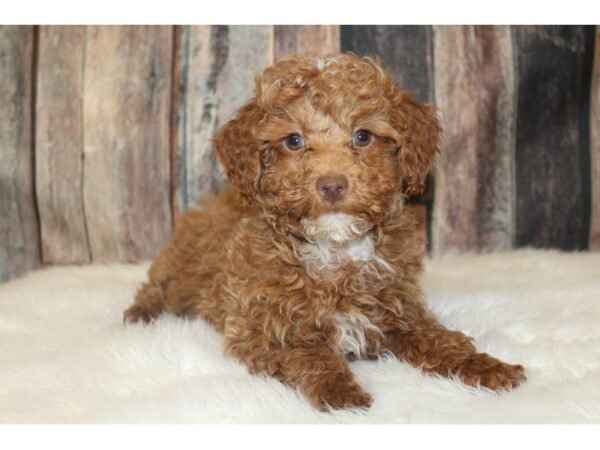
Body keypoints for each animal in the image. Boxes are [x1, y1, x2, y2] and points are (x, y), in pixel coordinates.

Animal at [123, 52, 524, 412]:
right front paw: (341, 392)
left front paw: (488, 368)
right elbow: (308, 352)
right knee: (155, 285)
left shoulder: (403, 310)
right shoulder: (259, 329)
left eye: (362, 137)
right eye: (293, 141)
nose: (332, 184)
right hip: (179, 265)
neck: (336, 249)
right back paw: (140, 315)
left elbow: (442, 341)